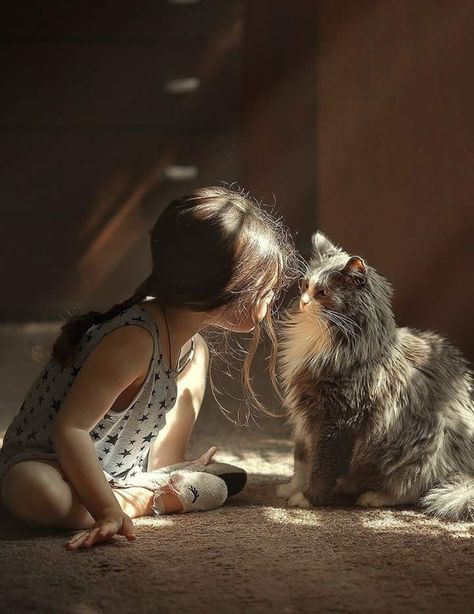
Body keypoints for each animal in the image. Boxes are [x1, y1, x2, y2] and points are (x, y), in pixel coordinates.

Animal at [278, 233, 474, 524]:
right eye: (304, 285)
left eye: (322, 293)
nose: (302, 301)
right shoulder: (303, 422)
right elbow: (301, 462)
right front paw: (291, 488)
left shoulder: (337, 423)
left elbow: (321, 468)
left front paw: (307, 498)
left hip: (425, 446)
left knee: (412, 489)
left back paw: (371, 497)